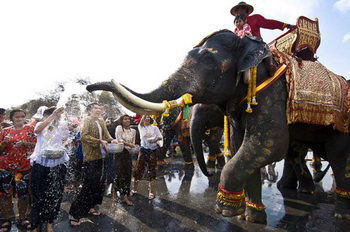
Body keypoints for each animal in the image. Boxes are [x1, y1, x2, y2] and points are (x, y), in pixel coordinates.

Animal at [87, 29, 350, 221]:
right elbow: (241, 144)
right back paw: (300, 191)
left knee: (337, 154)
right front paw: (250, 216)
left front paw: (226, 210)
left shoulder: (272, 91)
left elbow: (269, 144)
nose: (89, 87)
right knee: (297, 151)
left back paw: (338, 213)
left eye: (207, 59)